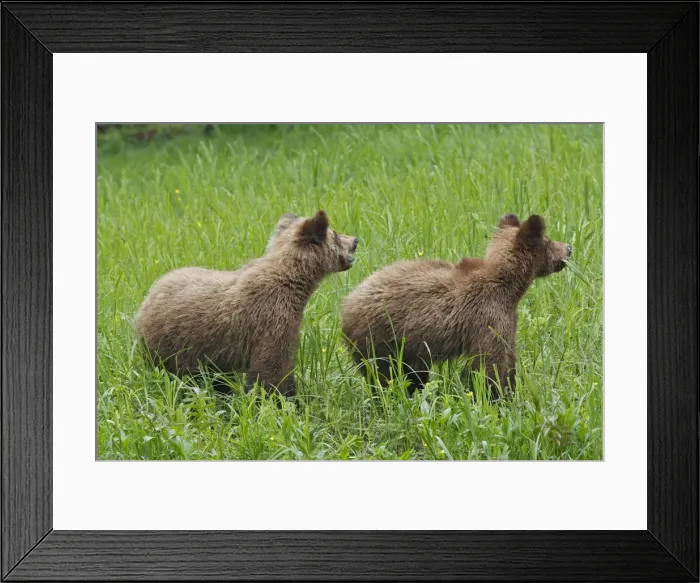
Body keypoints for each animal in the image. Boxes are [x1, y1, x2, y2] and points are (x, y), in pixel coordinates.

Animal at [135, 210, 359, 397]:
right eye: (336, 233)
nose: (356, 239)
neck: (296, 284)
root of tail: (146, 298)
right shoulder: (272, 320)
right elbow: (272, 369)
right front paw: (282, 400)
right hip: (175, 343)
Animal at [340, 214, 571, 399]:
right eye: (549, 240)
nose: (568, 247)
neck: (510, 289)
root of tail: (347, 302)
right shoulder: (485, 317)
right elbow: (489, 363)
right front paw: (494, 397)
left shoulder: (508, 317)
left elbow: (509, 355)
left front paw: (511, 391)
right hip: (379, 337)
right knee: (383, 375)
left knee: (413, 374)